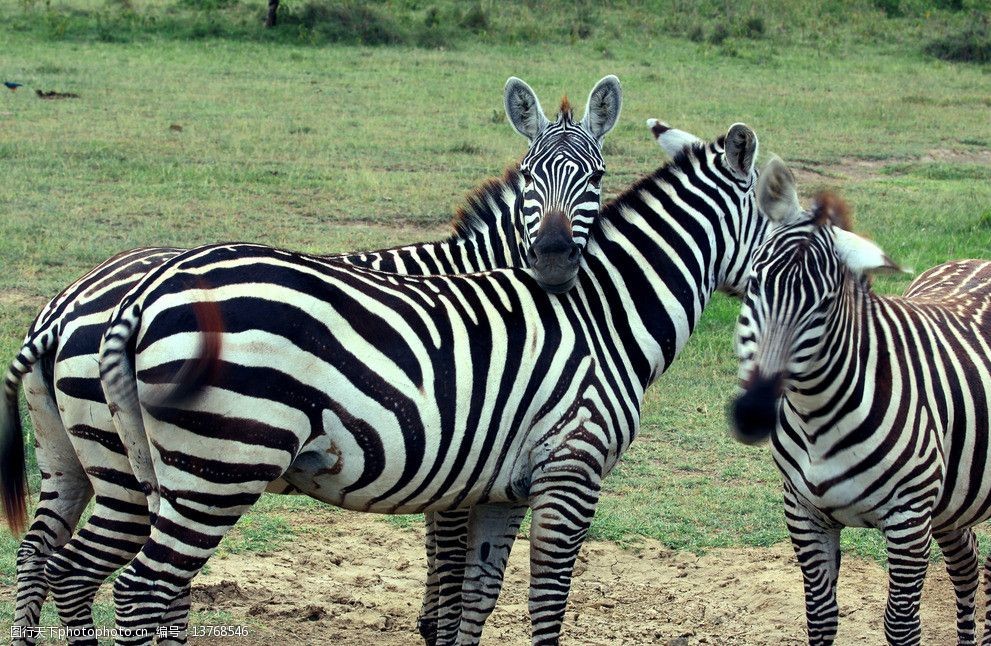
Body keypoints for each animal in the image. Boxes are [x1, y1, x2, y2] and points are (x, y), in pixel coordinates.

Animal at [0, 77, 620, 646]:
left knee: (36, 552)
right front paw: (435, 627)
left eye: (596, 176)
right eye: (531, 177)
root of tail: (62, 306)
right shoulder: (460, 440)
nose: (555, 258)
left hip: (69, 457)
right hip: (135, 466)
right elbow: (446, 557)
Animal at [77, 121, 764, 646]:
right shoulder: (570, 468)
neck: (604, 317)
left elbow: (477, 595)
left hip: (157, 470)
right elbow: (543, 602)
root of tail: (145, 288)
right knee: (139, 587)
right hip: (221, 466)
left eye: (595, 178)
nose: (554, 260)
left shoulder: (501, 486)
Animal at [728, 156, 991, 644]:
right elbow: (820, 615)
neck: (817, 417)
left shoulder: (909, 520)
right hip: (955, 497)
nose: (752, 414)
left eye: (826, 304)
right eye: (754, 284)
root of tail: (979, 261)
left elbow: (901, 625)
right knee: (967, 564)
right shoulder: (804, 512)